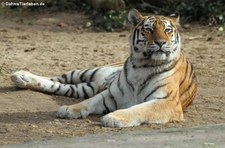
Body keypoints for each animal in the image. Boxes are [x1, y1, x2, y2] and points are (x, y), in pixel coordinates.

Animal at [10, 8, 197, 128]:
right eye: (148, 29)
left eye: (167, 30)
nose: (160, 43)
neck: (142, 65)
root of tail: (97, 82)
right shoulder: (112, 93)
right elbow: (89, 102)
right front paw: (70, 109)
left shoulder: (167, 102)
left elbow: (139, 109)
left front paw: (114, 118)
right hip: (88, 73)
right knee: (56, 78)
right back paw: (20, 76)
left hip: (84, 87)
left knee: (57, 86)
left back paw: (21, 79)